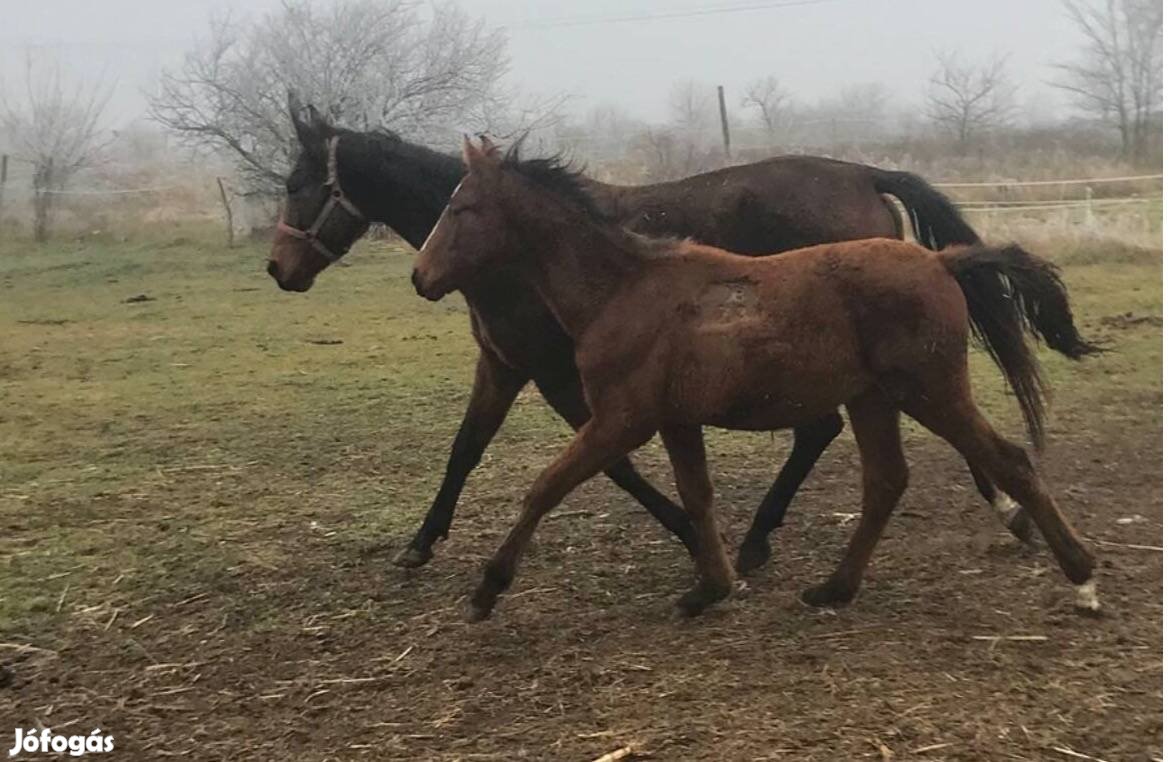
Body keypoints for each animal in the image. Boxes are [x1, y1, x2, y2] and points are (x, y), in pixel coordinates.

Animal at [265, 102, 1033, 577]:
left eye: (299, 182)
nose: (277, 269)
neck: (522, 254)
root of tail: (865, 173)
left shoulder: (560, 376)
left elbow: (614, 465)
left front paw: (690, 534)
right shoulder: (504, 366)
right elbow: (465, 448)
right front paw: (420, 544)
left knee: (829, 429)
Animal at [413, 138, 1103, 617]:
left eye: (462, 206)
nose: (420, 276)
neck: (623, 289)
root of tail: (942, 262)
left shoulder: (620, 420)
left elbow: (546, 487)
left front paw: (487, 588)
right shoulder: (675, 420)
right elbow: (697, 495)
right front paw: (711, 587)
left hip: (929, 390)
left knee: (1009, 460)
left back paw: (1082, 575)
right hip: (874, 399)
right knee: (886, 481)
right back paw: (832, 588)